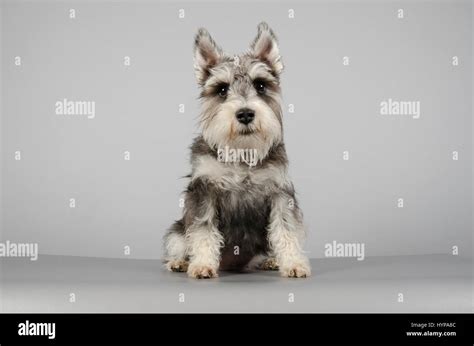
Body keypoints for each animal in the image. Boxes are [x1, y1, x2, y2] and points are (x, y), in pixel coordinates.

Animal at [163, 23, 312, 278]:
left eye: (260, 85)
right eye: (222, 90)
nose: (245, 114)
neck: (241, 153)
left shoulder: (280, 192)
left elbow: (286, 228)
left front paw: (293, 263)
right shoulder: (204, 191)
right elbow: (203, 230)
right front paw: (202, 265)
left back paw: (271, 260)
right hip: (177, 231)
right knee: (180, 243)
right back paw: (180, 262)